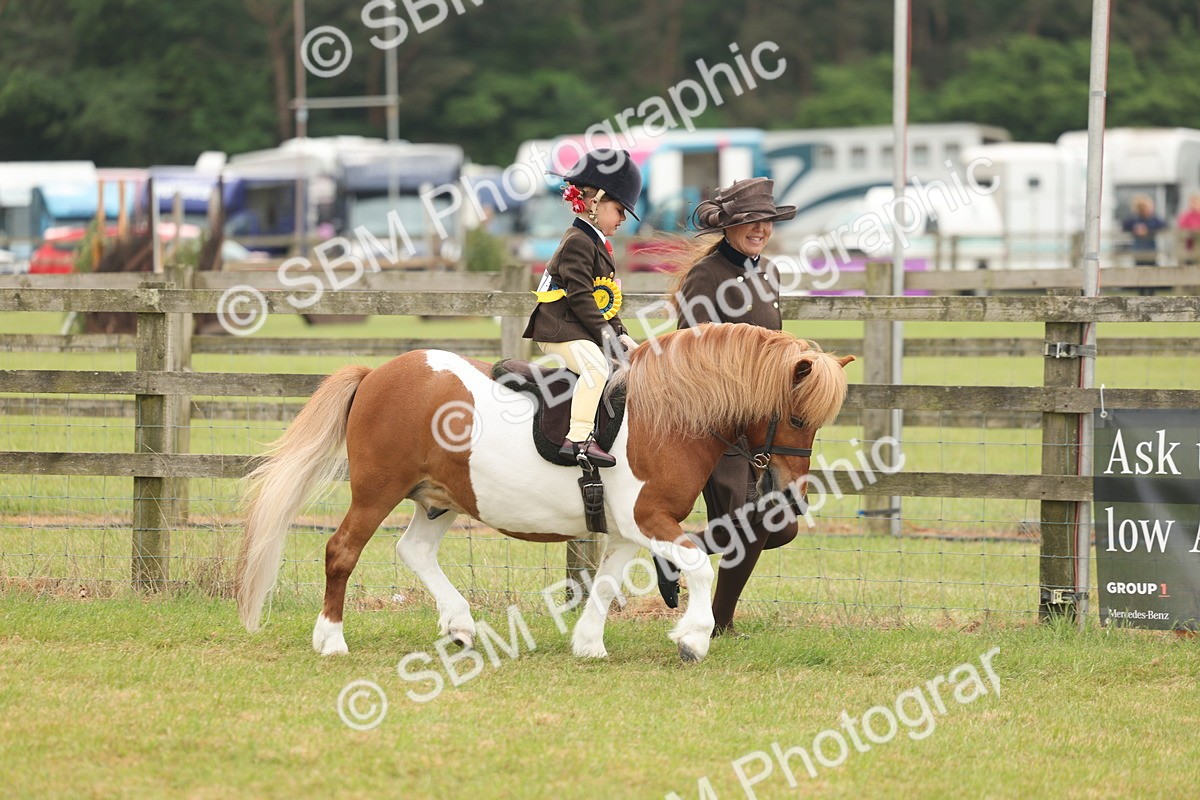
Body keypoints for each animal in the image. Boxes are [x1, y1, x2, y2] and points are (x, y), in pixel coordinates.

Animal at [235, 323, 853, 662]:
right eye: (798, 417)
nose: (792, 497)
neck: (668, 415)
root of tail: (377, 374)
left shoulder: (629, 531)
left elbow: (604, 584)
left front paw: (588, 644)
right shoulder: (651, 519)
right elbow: (700, 565)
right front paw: (694, 639)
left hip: (439, 497)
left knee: (413, 551)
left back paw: (459, 624)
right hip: (377, 492)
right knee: (341, 551)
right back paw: (332, 640)